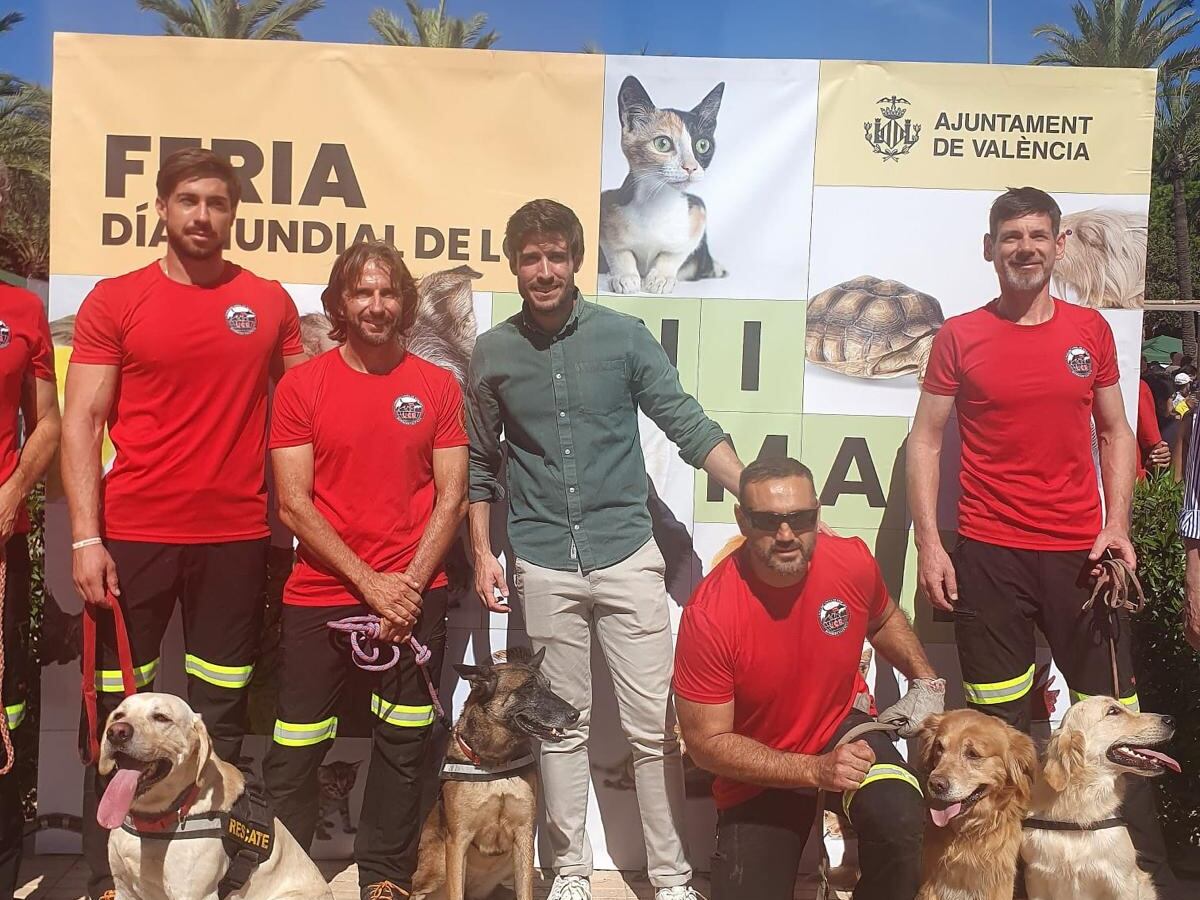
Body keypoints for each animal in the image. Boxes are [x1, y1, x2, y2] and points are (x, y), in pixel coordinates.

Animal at [412, 648, 580, 900]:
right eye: (528, 688)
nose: (575, 714)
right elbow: (456, 891)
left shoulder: (524, 837)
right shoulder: (458, 841)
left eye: (548, 686)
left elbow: (525, 892)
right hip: (437, 868)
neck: (495, 763)